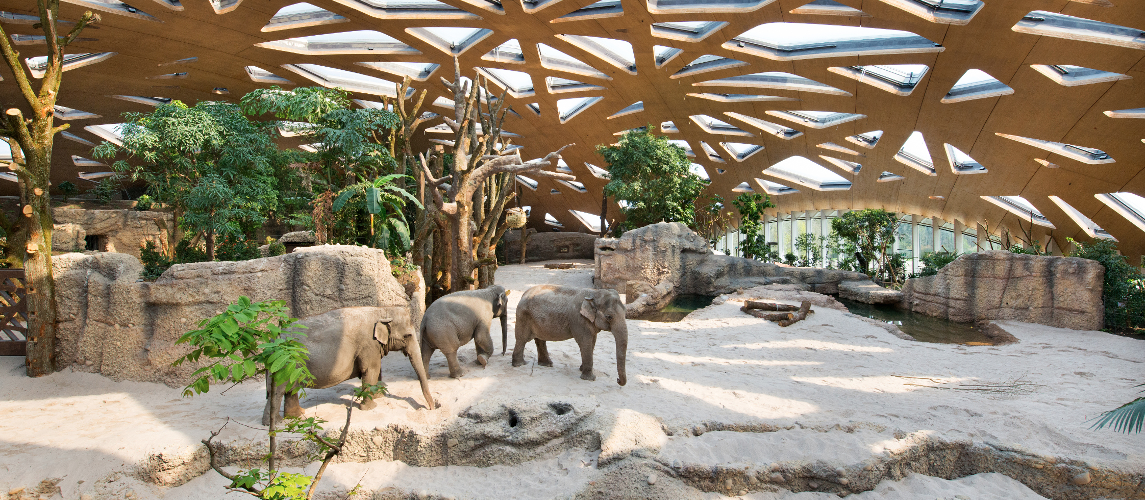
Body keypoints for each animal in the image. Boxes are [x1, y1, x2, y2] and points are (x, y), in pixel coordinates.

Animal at [262, 304, 432, 425]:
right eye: (408, 336)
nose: (432, 407)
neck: (381, 310)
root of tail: (271, 340)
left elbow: (376, 369)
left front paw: (379, 397)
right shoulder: (368, 344)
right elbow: (371, 369)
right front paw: (370, 407)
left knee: (290, 389)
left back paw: (298, 415)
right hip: (282, 364)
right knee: (278, 390)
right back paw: (275, 423)